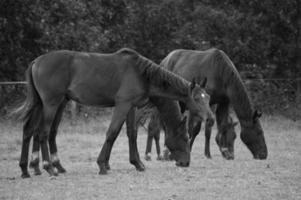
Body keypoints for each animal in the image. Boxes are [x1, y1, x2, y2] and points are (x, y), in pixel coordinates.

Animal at [15, 48, 213, 178]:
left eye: (208, 97)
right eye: (185, 137)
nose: (186, 162)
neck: (142, 74)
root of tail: (37, 61)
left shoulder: (131, 106)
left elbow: (131, 134)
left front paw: (138, 163)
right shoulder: (122, 105)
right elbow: (112, 133)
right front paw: (102, 165)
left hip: (42, 104)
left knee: (29, 130)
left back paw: (27, 169)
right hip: (51, 104)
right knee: (43, 132)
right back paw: (48, 167)